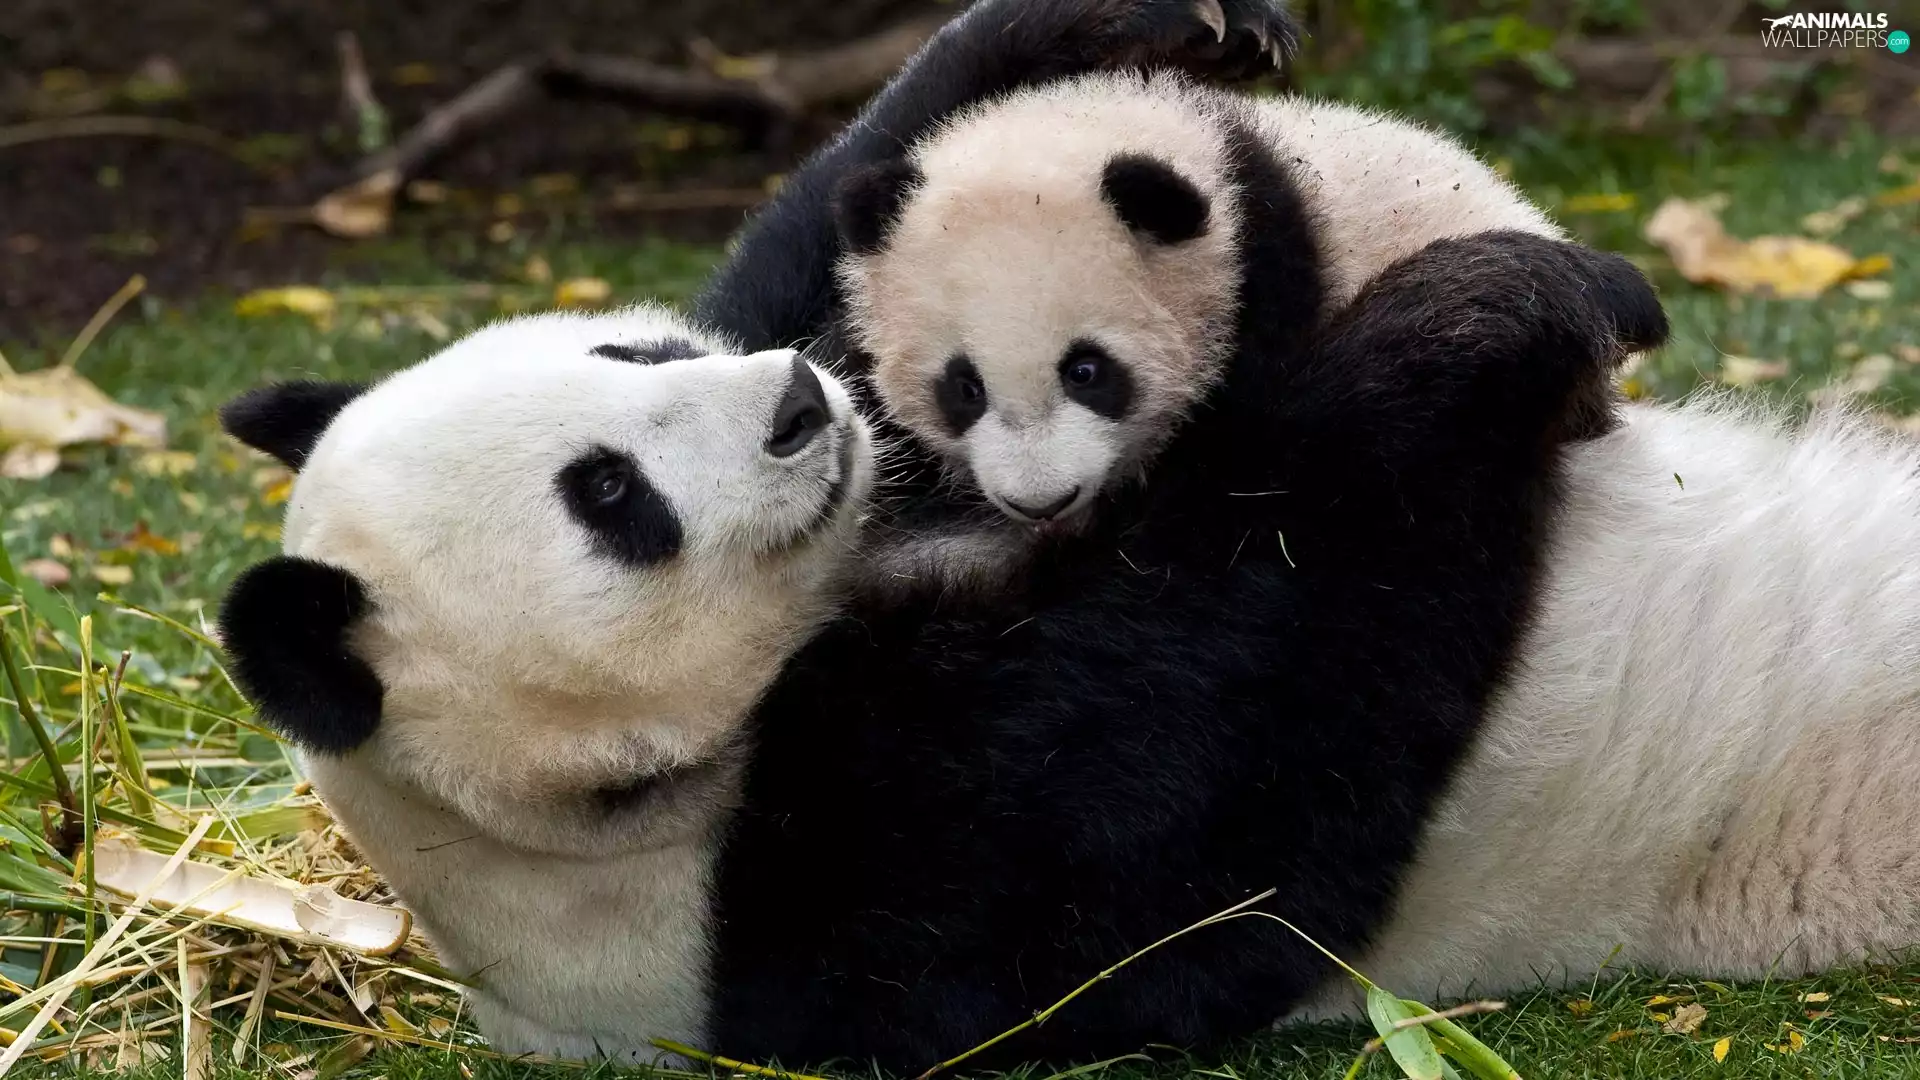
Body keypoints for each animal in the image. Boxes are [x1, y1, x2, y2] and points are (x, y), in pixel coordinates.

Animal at [216, 229, 1650, 1069]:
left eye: (633, 346)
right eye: (610, 495)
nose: (800, 403)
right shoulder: (830, 899)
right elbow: (1246, 754)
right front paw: (1490, 309)